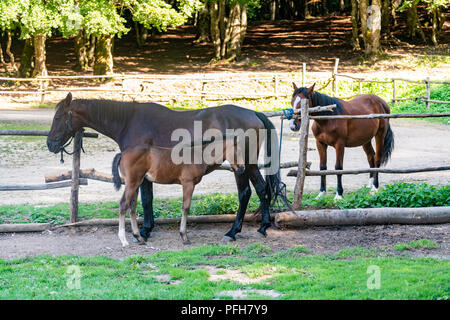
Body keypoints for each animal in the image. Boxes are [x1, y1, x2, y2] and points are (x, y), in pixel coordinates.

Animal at [47, 92, 286, 248]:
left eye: (58, 117)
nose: (50, 144)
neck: (128, 121)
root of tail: (254, 113)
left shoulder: (142, 175)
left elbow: (145, 200)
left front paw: (144, 230)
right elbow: (142, 201)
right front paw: (144, 231)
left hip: (242, 167)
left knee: (245, 193)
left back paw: (232, 232)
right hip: (250, 165)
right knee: (262, 189)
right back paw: (263, 227)